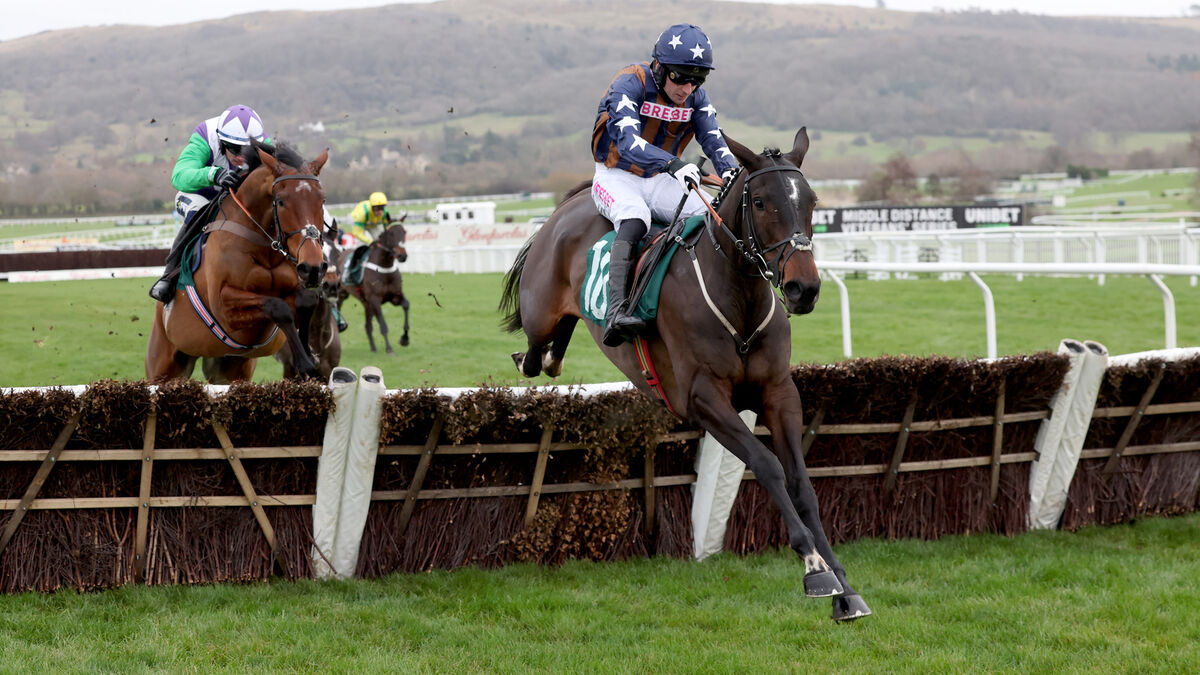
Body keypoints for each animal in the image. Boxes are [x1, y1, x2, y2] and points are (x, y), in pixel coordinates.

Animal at [146, 140, 330, 384]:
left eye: (322, 200)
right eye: (281, 202)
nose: (313, 267)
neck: (264, 246)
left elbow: (307, 301)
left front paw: (310, 356)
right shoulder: (224, 304)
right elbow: (278, 307)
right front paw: (304, 363)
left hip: (230, 370)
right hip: (163, 366)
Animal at [338, 218, 411, 354]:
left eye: (404, 231)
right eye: (391, 233)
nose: (402, 256)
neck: (384, 267)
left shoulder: (395, 296)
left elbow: (406, 305)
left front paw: (404, 339)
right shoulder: (375, 299)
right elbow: (383, 325)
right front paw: (389, 349)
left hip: (366, 303)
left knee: (368, 326)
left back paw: (373, 348)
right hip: (340, 295)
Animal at [499, 128, 870, 622]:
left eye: (811, 201)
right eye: (761, 203)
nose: (802, 288)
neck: (738, 297)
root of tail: (568, 206)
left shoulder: (778, 393)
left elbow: (802, 484)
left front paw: (845, 589)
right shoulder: (702, 398)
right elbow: (767, 465)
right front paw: (813, 567)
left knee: (554, 351)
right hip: (541, 310)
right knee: (537, 350)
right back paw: (537, 354)